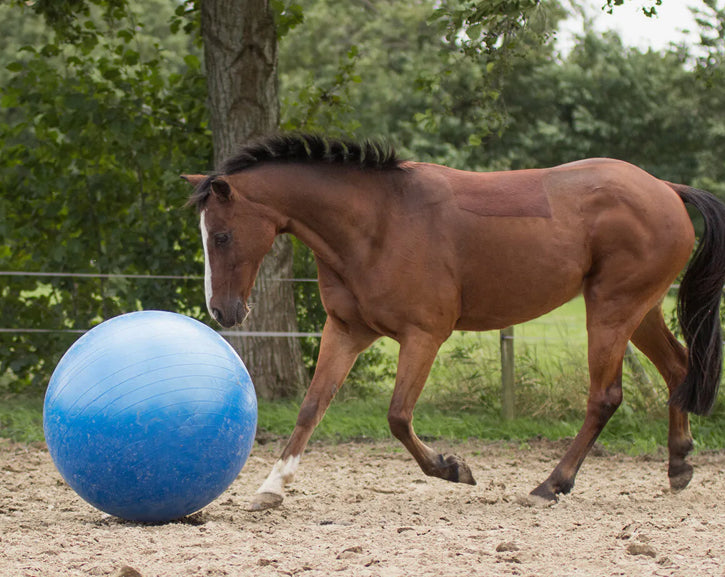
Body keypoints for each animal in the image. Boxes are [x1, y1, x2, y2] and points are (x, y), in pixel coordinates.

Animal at [182, 134, 724, 508]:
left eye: (222, 236)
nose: (222, 312)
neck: (376, 224)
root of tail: (665, 189)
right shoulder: (346, 331)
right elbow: (311, 407)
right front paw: (271, 487)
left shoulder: (424, 335)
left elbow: (398, 416)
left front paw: (453, 468)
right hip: (640, 310)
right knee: (678, 368)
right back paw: (679, 465)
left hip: (611, 310)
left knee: (605, 397)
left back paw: (550, 485)